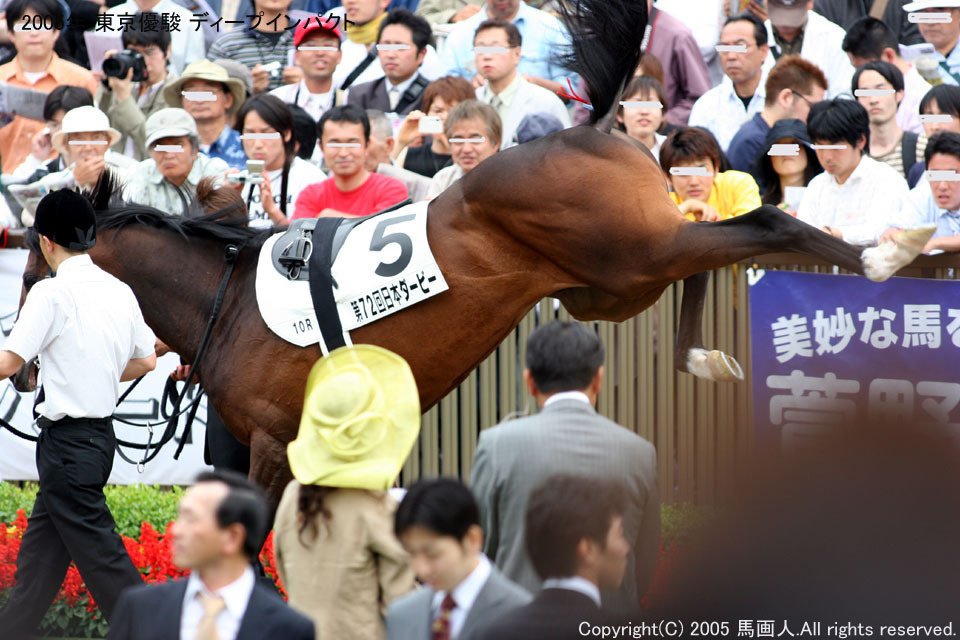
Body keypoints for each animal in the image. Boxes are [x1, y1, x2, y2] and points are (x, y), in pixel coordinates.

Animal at [16, 0, 934, 508]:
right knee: (711, 241)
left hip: (628, 252)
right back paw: (709, 353)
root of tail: (584, 126)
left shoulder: (279, 448)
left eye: (33, 262)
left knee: (760, 223)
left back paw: (885, 257)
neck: (230, 302)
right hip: (615, 279)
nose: (21, 369)